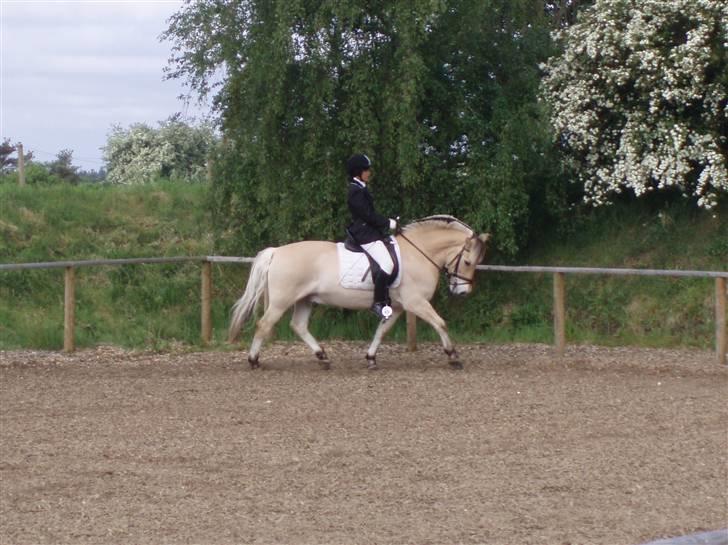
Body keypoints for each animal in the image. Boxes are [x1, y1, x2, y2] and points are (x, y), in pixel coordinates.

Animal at [228, 214, 490, 370]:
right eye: (468, 262)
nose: (462, 292)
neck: (418, 253)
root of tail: (276, 251)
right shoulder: (416, 302)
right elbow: (440, 323)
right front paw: (453, 355)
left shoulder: (397, 306)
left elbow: (382, 331)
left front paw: (371, 358)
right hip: (282, 301)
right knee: (264, 324)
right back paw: (254, 361)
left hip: (305, 299)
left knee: (298, 325)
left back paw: (322, 356)